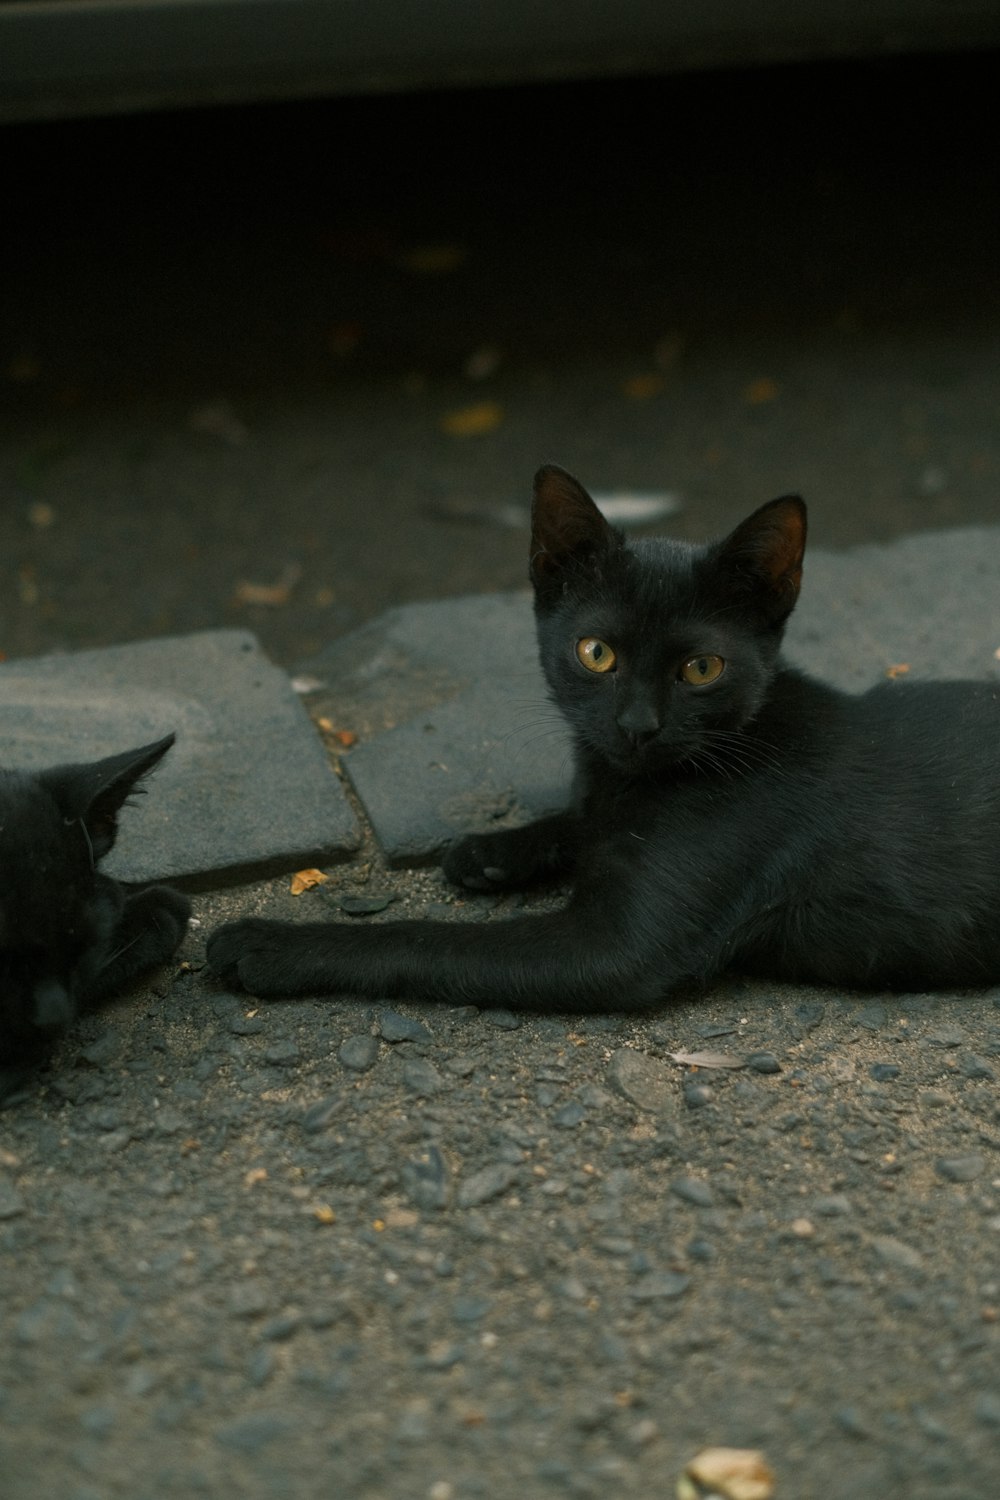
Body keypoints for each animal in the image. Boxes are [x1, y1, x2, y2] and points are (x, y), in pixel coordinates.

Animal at [206, 465, 1000, 1008]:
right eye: (596, 653)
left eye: (701, 669)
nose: (636, 725)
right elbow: (578, 818)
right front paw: (494, 850)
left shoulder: (615, 947)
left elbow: (429, 939)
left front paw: (270, 945)